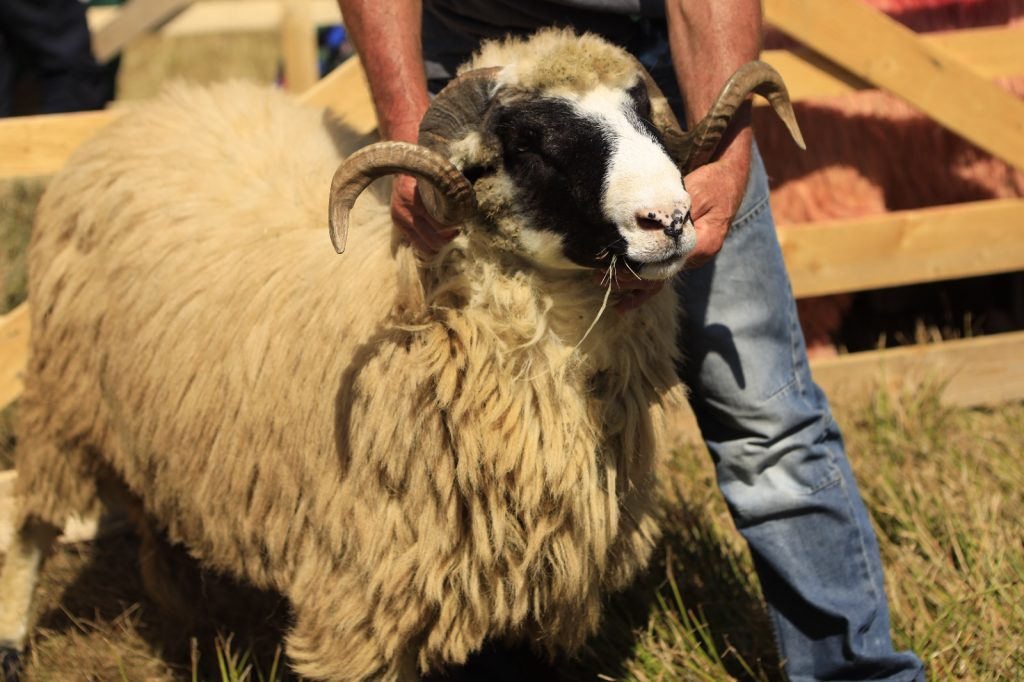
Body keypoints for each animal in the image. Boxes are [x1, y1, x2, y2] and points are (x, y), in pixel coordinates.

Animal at [0, 28, 803, 681]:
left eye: (642, 113)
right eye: (531, 141)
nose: (668, 219)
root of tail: (162, 105)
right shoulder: (363, 594)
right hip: (61, 392)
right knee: (25, 512)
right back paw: (13, 640)